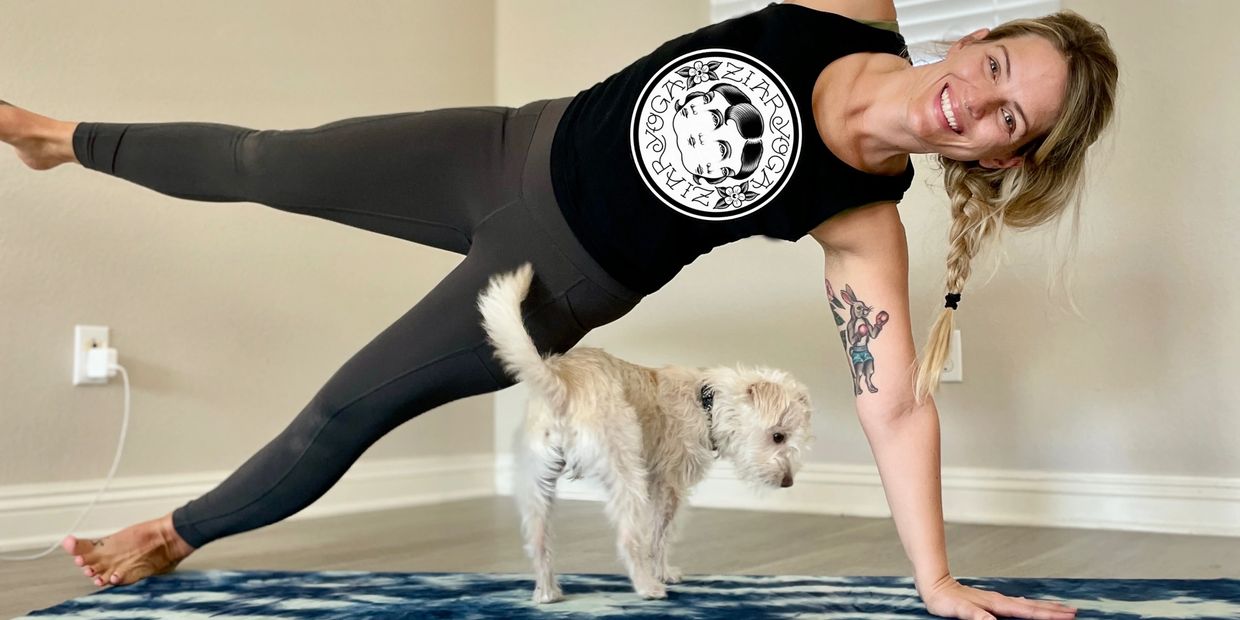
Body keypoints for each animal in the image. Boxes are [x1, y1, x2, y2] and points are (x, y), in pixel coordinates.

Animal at [473, 261, 813, 600]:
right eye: (778, 436)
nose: (788, 481)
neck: (707, 403)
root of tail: (563, 385)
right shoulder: (668, 487)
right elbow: (659, 536)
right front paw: (663, 572)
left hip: (537, 480)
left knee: (539, 540)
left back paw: (547, 592)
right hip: (625, 474)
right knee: (628, 538)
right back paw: (648, 587)